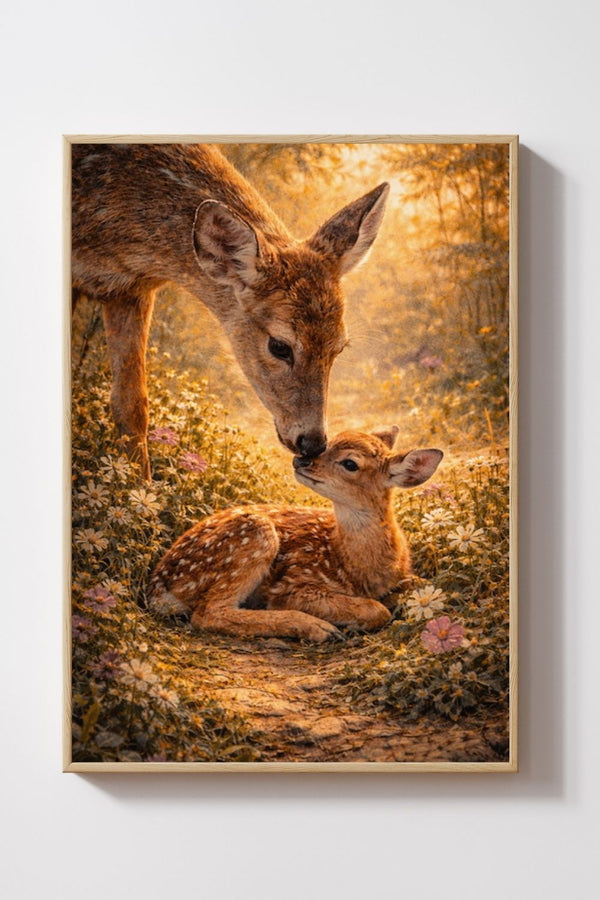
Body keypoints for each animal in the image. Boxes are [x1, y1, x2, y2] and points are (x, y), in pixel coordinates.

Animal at [71, 143, 390, 479]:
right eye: (279, 346)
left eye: (339, 348)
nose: (313, 443)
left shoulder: (129, 290)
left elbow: (132, 404)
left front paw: (139, 486)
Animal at [147, 426, 443, 642]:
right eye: (330, 441)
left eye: (350, 463)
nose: (300, 459)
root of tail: (157, 585)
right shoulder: (293, 586)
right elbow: (377, 609)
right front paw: (350, 624)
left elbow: (421, 585)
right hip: (253, 536)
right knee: (208, 613)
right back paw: (318, 628)